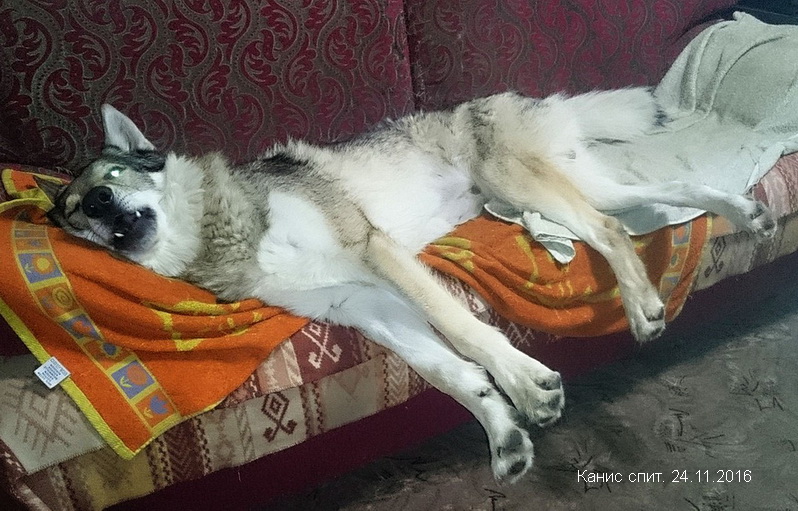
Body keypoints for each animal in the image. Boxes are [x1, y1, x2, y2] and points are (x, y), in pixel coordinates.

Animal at [39, 88, 776, 483]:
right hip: (568, 188)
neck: (224, 232)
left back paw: (645, 303)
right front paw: (503, 433)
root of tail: (511, 97)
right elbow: (449, 373)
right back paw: (742, 221)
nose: (101, 211)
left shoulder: (376, 254)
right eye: (75, 213)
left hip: (522, 187)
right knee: (657, 202)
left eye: (109, 179)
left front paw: (527, 385)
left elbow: (466, 333)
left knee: (610, 230)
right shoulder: (360, 305)